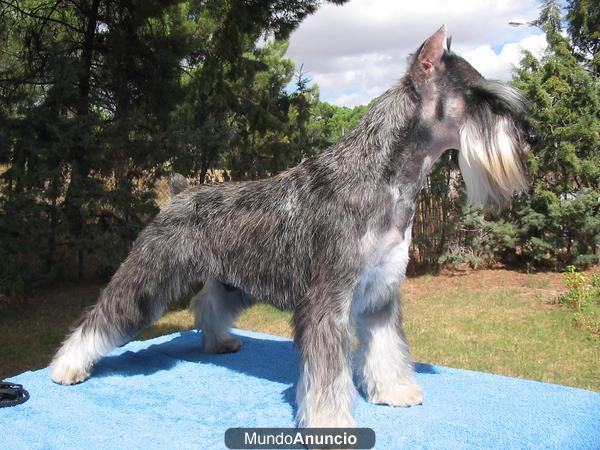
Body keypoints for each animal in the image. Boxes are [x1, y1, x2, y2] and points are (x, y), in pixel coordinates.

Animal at [49, 26, 536, 428]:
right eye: (480, 96)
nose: (532, 137)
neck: (386, 179)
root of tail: (179, 192)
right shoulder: (327, 304)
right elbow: (327, 376)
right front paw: (331, 424)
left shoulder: (381, 293)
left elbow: (387, 350)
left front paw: (395, 391)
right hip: (149, 276)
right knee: (102, 316)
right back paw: (66, 367)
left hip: (233, 280)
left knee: (208, 303)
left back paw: (218, 342)